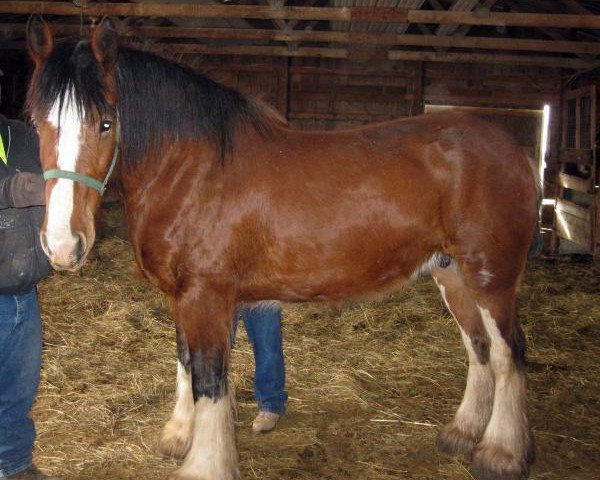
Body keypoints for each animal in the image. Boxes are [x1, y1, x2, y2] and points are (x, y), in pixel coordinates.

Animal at [25, 16, 536, 480]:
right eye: (36, 123)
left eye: (105, 122)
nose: (63, 244)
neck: (191, 171)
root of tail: (513, 148)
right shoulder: (181, 298)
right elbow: (186, 364)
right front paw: (179, 436)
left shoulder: (207, 297)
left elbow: (210, 380)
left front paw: (204, 465)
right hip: (452, 273)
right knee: (477, 346)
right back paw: (462, 433)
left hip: (491, 275)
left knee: (507, 352)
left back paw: (501, 453)